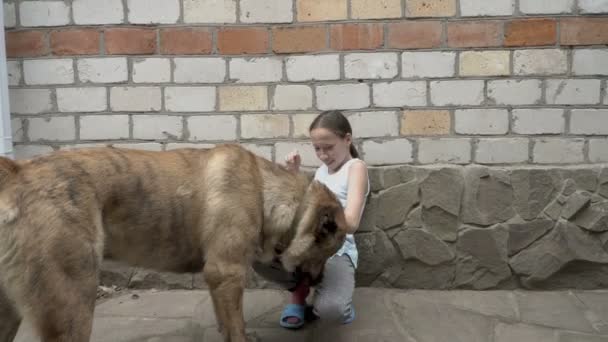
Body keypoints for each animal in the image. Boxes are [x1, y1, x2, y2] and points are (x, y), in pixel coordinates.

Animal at [0, 144, 346, 342]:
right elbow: (236, 327)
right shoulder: (227, 272)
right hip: (73, 302)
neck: (266, 191)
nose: (318, 280)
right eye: (327, 252)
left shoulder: (218, 280)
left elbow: (226, 322)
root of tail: (17, 173)